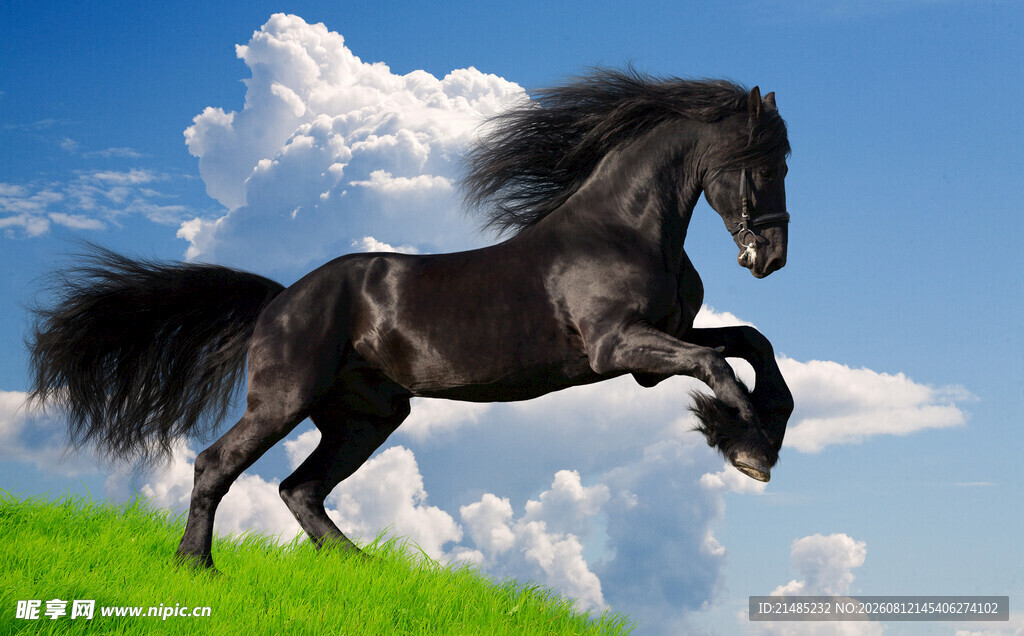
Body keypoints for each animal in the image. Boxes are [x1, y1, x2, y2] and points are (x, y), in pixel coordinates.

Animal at [28, 68, 795, 570]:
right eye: (763, 166)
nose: (772, 258)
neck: (623, 231)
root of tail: (278, 301)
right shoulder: (618, 349)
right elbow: (719, 363)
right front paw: (749, 450)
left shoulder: (650, 354)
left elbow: (752, 345)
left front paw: (762, 431)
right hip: (285, 399)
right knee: (217, 464)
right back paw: (196, 566)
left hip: (367, 416)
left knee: (300, 488)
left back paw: (364, 568)